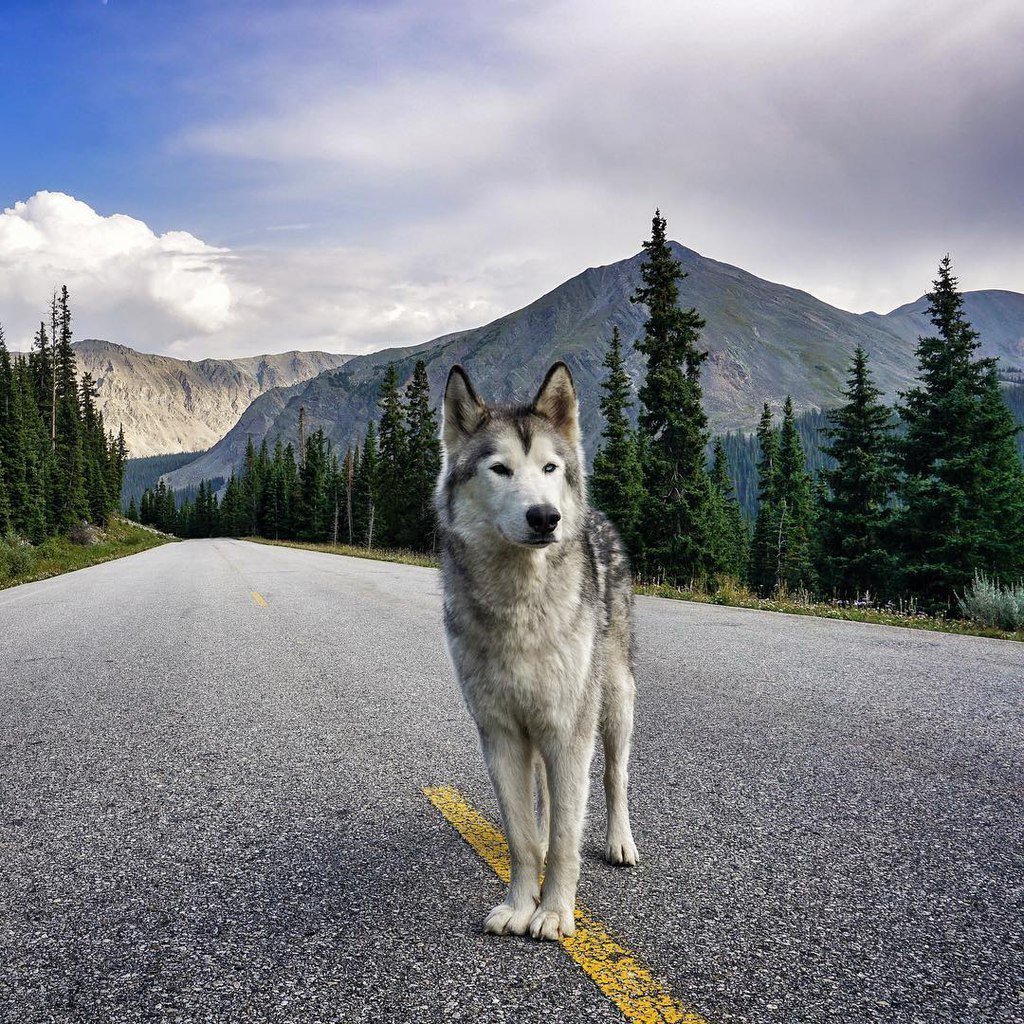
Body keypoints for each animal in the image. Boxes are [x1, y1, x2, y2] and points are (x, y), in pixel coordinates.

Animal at [434, 362, 638, 942]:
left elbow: (570, 838)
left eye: (549, 467)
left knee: (615, 777)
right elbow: (522, 837)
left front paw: (553, 913)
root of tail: (599, 517)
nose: (546, 517)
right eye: (500, 469)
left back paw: (620, 842)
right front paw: (520, 905)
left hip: (614, 704)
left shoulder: (569, 731)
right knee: (546, 796)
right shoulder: (501, 733)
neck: (521, 607)